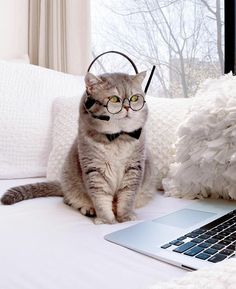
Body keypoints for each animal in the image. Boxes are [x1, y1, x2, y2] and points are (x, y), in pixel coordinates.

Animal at [0, 71, 155, 224]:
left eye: (135, 98)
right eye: (114, 99)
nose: (128, 107)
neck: (117, 138)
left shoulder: (134, 168)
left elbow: (128, 197)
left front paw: (125, 216)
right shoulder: (94, 169)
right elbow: (100, 198)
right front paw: (106, 220)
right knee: (68, 199)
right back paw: (88, 209)